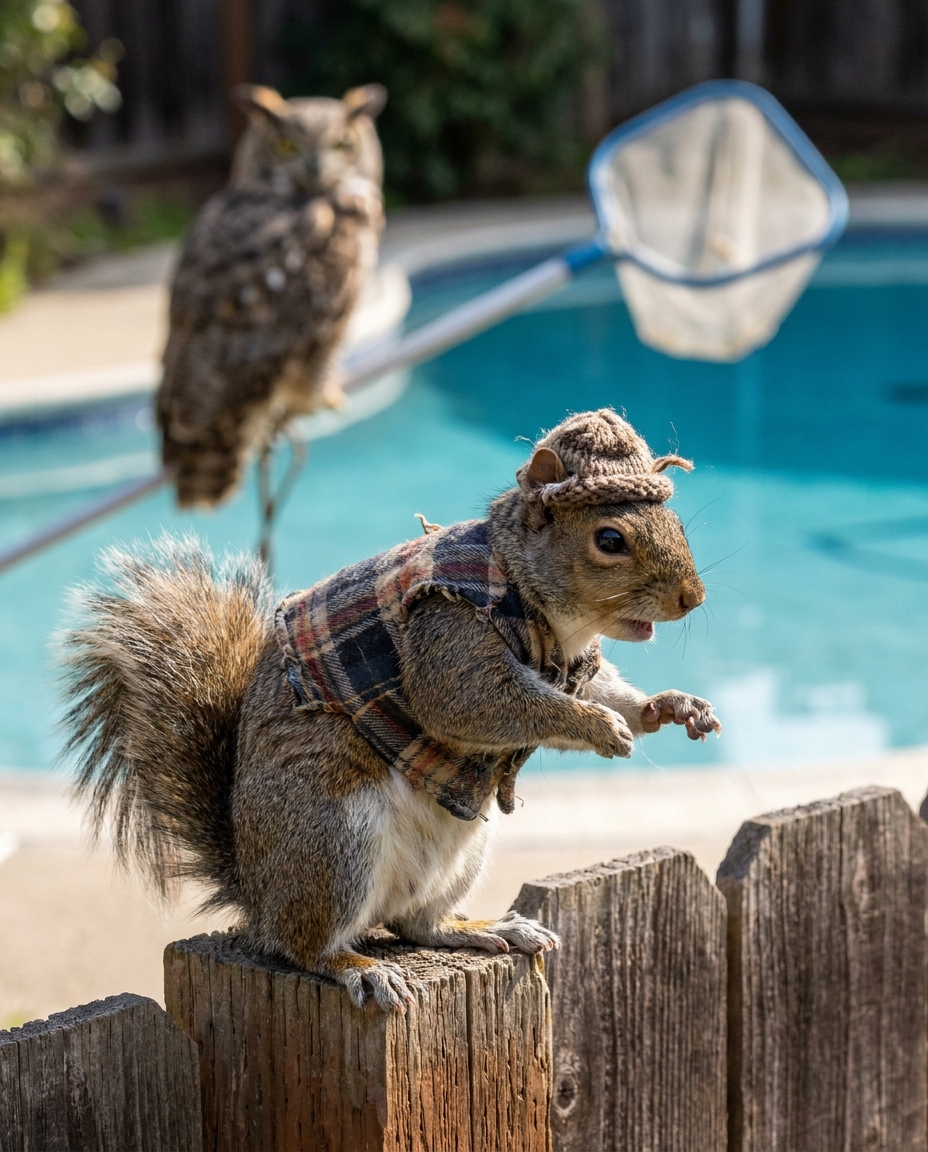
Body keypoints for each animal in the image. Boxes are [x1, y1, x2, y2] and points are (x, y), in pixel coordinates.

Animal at [61, 409, 721, 1013]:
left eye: (674, 519)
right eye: (609, 539)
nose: (692, 598)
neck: (549, 619)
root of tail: (258, 896)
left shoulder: (577, 665)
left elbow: (607, 688)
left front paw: (671, 708)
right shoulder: (446, 632)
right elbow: (477, 704)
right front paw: (598, 726)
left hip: (458, 854)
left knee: (416, 925)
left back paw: (484, 929)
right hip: (332, 841)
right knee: (305, 946)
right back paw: (361, 969)